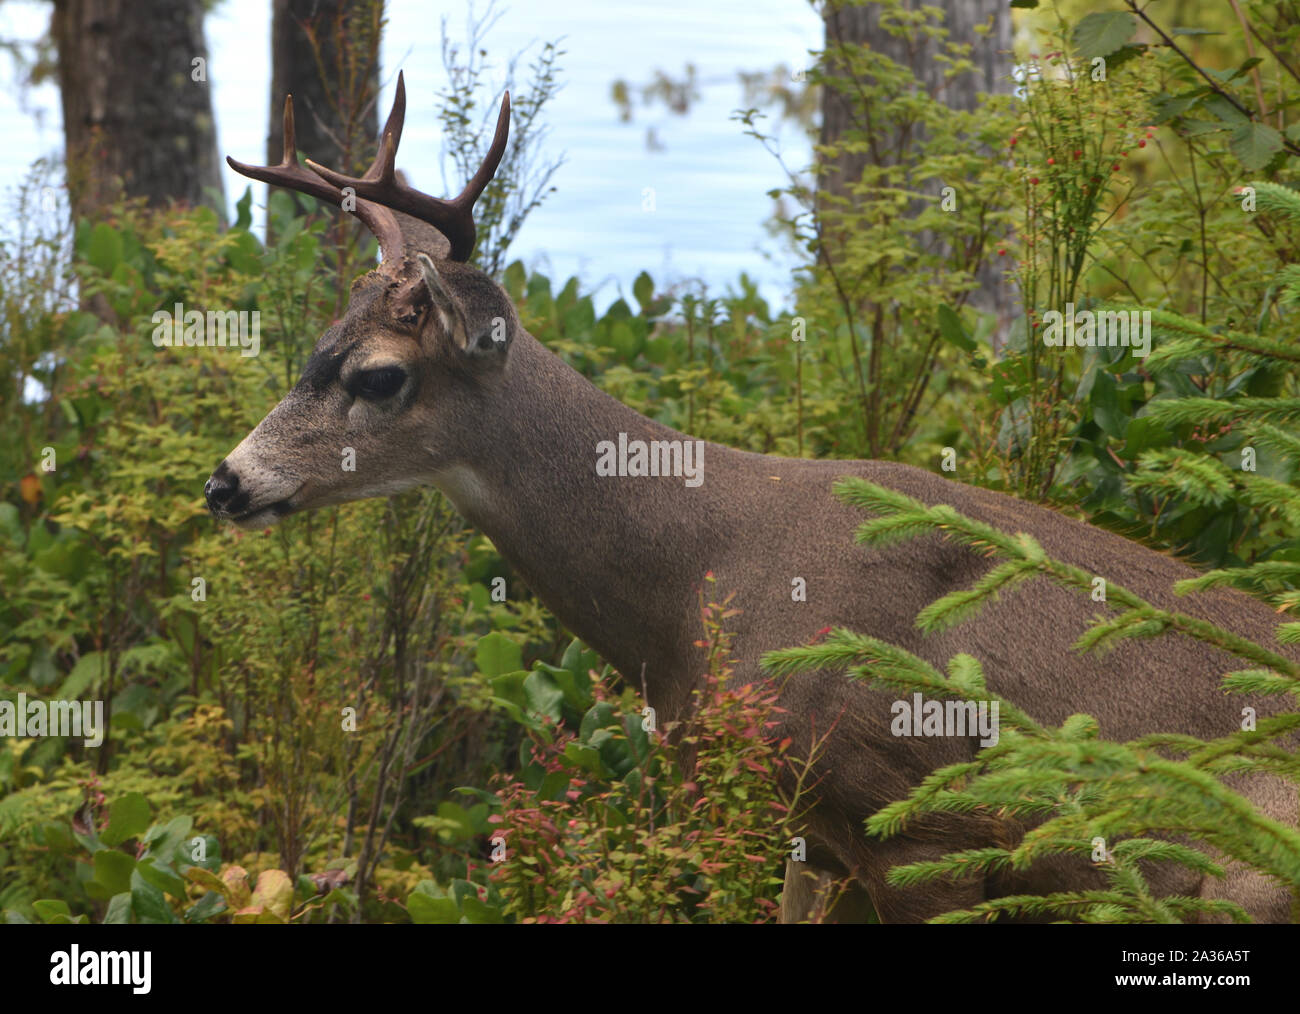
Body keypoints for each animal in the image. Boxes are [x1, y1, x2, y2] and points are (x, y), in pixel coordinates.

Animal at [208, 75, 1294, 920]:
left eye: (380, 375)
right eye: (316, 348)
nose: (227, 482)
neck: (695, 583)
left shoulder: (922, 826)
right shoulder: (818, 839)